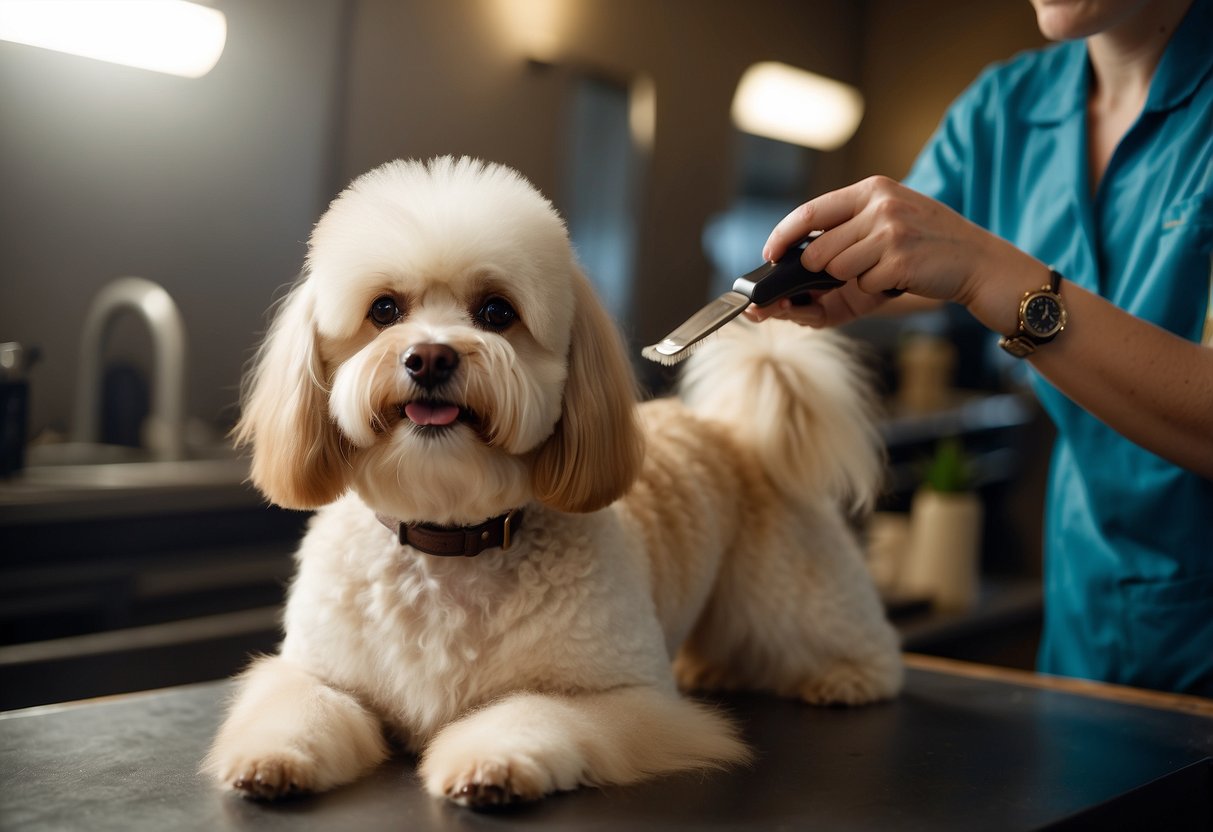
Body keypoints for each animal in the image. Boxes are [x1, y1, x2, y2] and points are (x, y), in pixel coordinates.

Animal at [203, 154, 902, 810]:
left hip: (791, 591)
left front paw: (492, 763)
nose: (429, 357)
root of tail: (733, 427)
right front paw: (271, 758)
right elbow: (301, 705)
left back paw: (846, 677)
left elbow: (536, 710)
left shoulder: (623, 698)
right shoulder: (318, 673)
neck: (450, 541)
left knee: (854, 640)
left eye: (496, 311)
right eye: (384, 309)